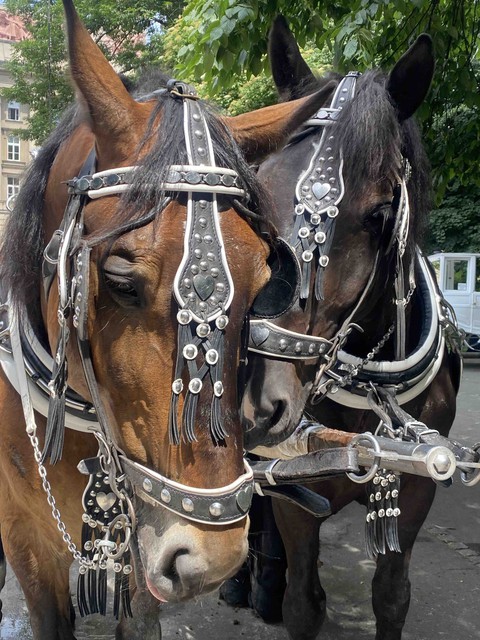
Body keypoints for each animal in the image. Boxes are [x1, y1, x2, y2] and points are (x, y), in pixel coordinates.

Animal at [236, 17, 465, 640]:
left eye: (381, 214)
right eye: (254, 193)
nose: (256, 396)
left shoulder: (413, 487)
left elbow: (391, 596)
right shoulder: (295, 486)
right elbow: (303, 603)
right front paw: (279, 590)